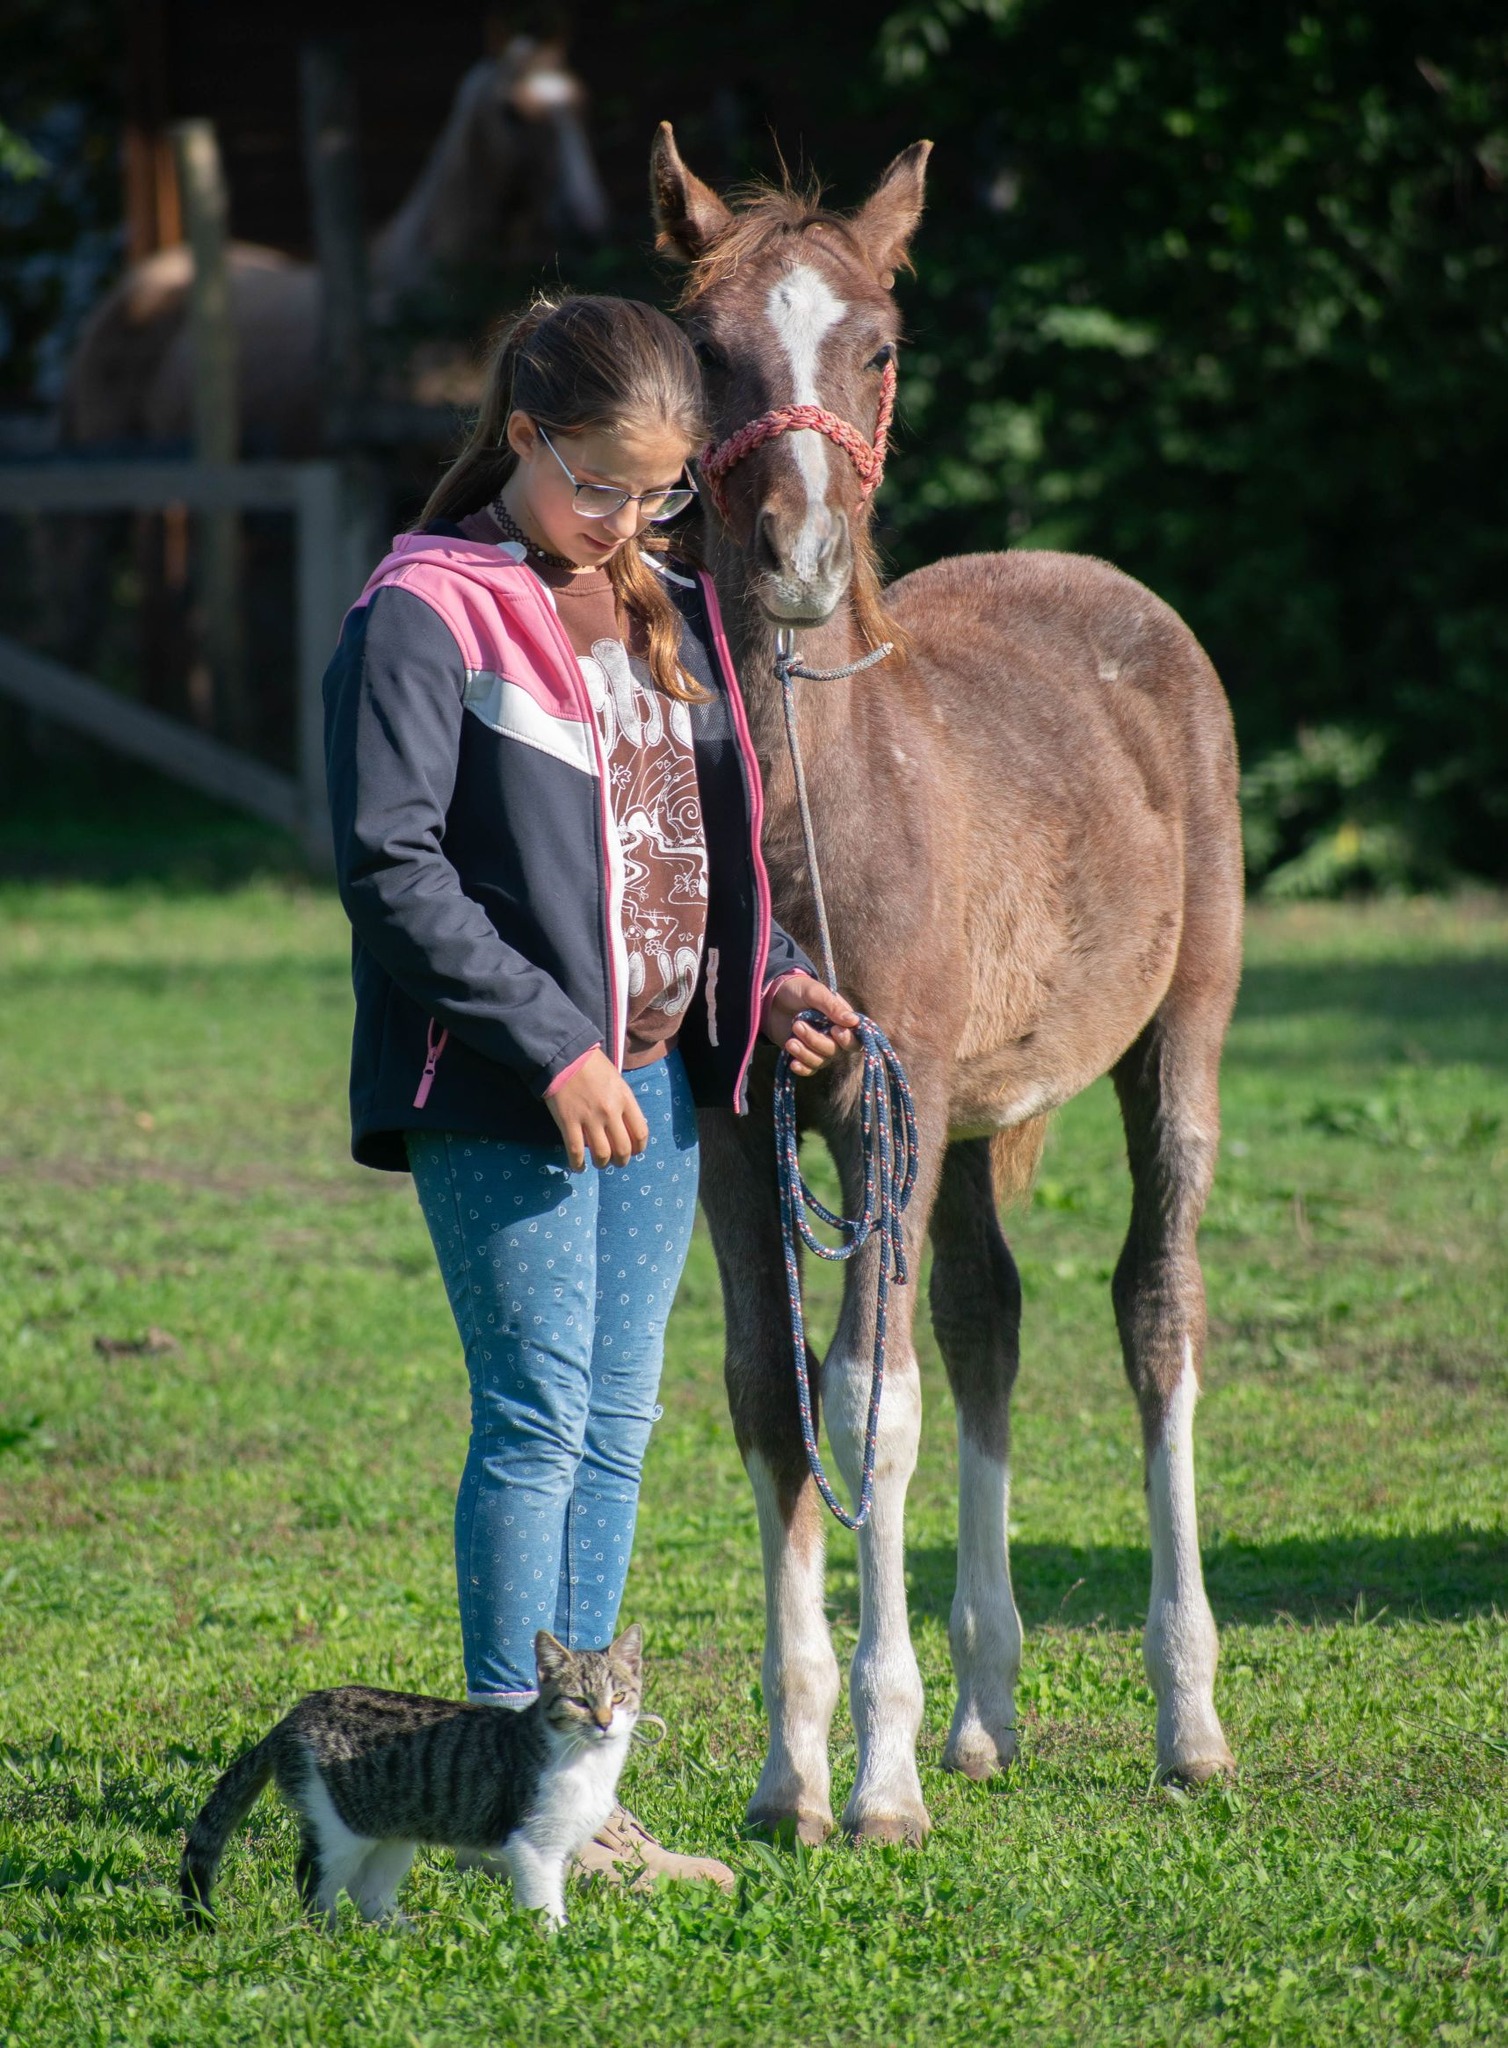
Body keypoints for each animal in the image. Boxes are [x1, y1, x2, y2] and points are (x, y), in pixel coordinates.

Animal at [179, 1622, 639, 1925]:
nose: (604, 1722)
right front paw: (554, 1944)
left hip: (392, 1828)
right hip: (338, 1825)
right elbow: (543, 1903)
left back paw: (399, 1933)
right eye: (578, 1701)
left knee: (367, 1891)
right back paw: (328, 1937)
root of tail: (296, 1714)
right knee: (314, 1881)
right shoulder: (532, 1844)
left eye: (619, 1696)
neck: (587, 1761)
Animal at [655, 132, 1245, 1859]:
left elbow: (872, 1403)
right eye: (707, 348)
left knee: (1154, 1310)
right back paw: (989, 1710)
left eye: (878, 344)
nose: (794, 563)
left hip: (1176, 1039)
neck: (823, 806)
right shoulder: (739, 1130)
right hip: (977, 1114)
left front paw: (881, 1781)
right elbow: (770, 1397)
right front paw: (792, 1776)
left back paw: (1188, 1719)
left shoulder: (879, 1095)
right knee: (990, 1318)